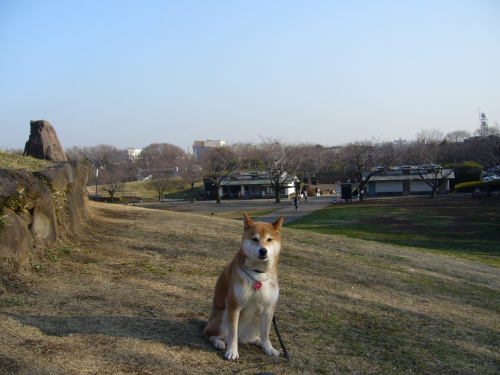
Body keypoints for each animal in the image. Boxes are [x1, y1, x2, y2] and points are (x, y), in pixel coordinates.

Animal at [204, 213, 286, 360]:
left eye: (269, 239)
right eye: (254, 239)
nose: (263, 251)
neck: (258, 274)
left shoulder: (268, 309)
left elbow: (266, 334)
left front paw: (269, 348)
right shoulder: (234, 306)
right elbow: (233, 334)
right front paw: (232, 351)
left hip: (256, 321)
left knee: (246, 338)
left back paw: (258, 341)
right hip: (223, 317)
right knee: (210, 335)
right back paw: (218, 342)